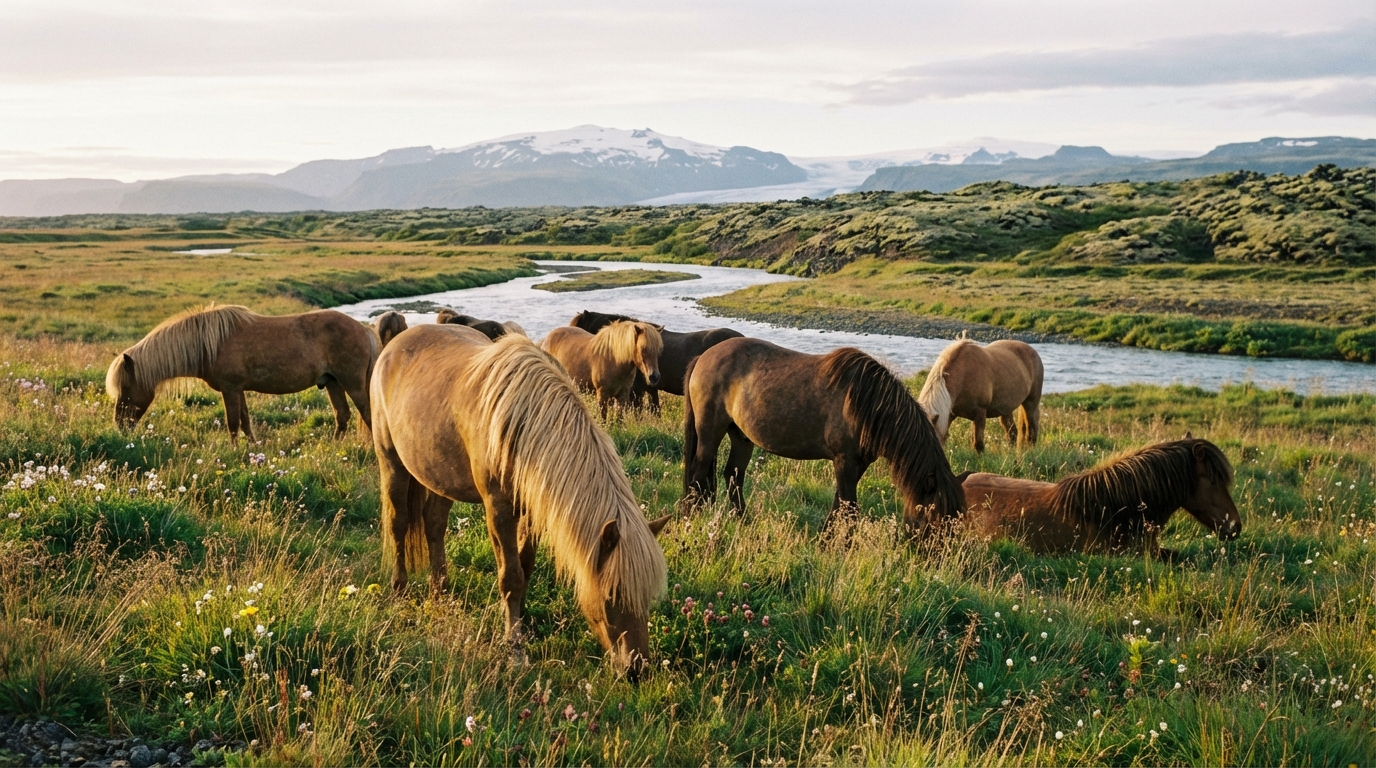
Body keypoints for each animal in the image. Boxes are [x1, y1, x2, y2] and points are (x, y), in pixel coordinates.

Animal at [106, 305, 376, 443]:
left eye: (126, 388)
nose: (120, 424)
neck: (209, 344)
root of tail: (363, 329)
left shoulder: (230, 389)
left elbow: (233, 423)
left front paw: (235, 451)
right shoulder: (238, 390)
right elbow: (245, 421)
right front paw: (252, 449)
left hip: (352, 383)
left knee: (368, 414)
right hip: (333, 383)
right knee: (342, 416)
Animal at [370, 325, 670, 677]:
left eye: (647, 598)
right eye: (612, 596)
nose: (636, 669)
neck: (522, 421)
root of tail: (396, 343)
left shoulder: (531, 509)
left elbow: (525, 569)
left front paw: (522, 625)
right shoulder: (498, 510)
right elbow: (511, 577)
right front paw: (515, 648)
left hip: (440, 476)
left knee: (434, 526)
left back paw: (440, 593)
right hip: (392, 462)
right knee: (399, 524)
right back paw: (400, 590)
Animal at [682, 338, 966, 535]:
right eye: (933, 519)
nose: (935, 560)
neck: (868, 404)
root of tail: (703, 357)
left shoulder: (858, 464)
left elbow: (839, 504)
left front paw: (825, 540)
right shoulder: (844, 460)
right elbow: (849, 507)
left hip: (741, 437)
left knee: (733, 476)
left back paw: (743, 520)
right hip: (710, 431)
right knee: (698, 473)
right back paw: (689, 516)